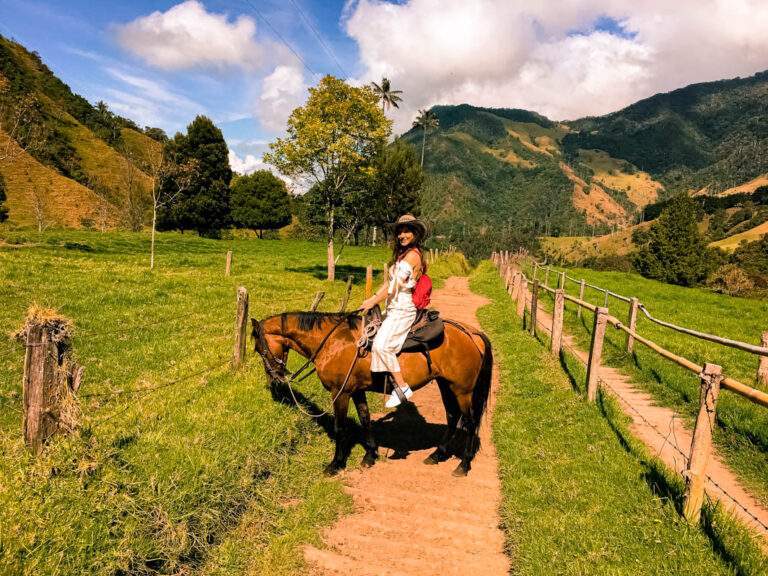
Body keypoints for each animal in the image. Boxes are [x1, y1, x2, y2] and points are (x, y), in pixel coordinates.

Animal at [252, 312, 492, 474]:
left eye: (258, 348)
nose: (275, 378)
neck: (333, 341)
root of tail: (472, 334)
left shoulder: (340, 393)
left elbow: (340, 428)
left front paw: (336, 464)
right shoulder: (357, 391)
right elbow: (365, 419)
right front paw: (370, 455)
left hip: (462, 390)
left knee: (470, 422)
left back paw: (464, 464)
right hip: (446, 385)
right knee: (452, 417)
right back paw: (437, 454)